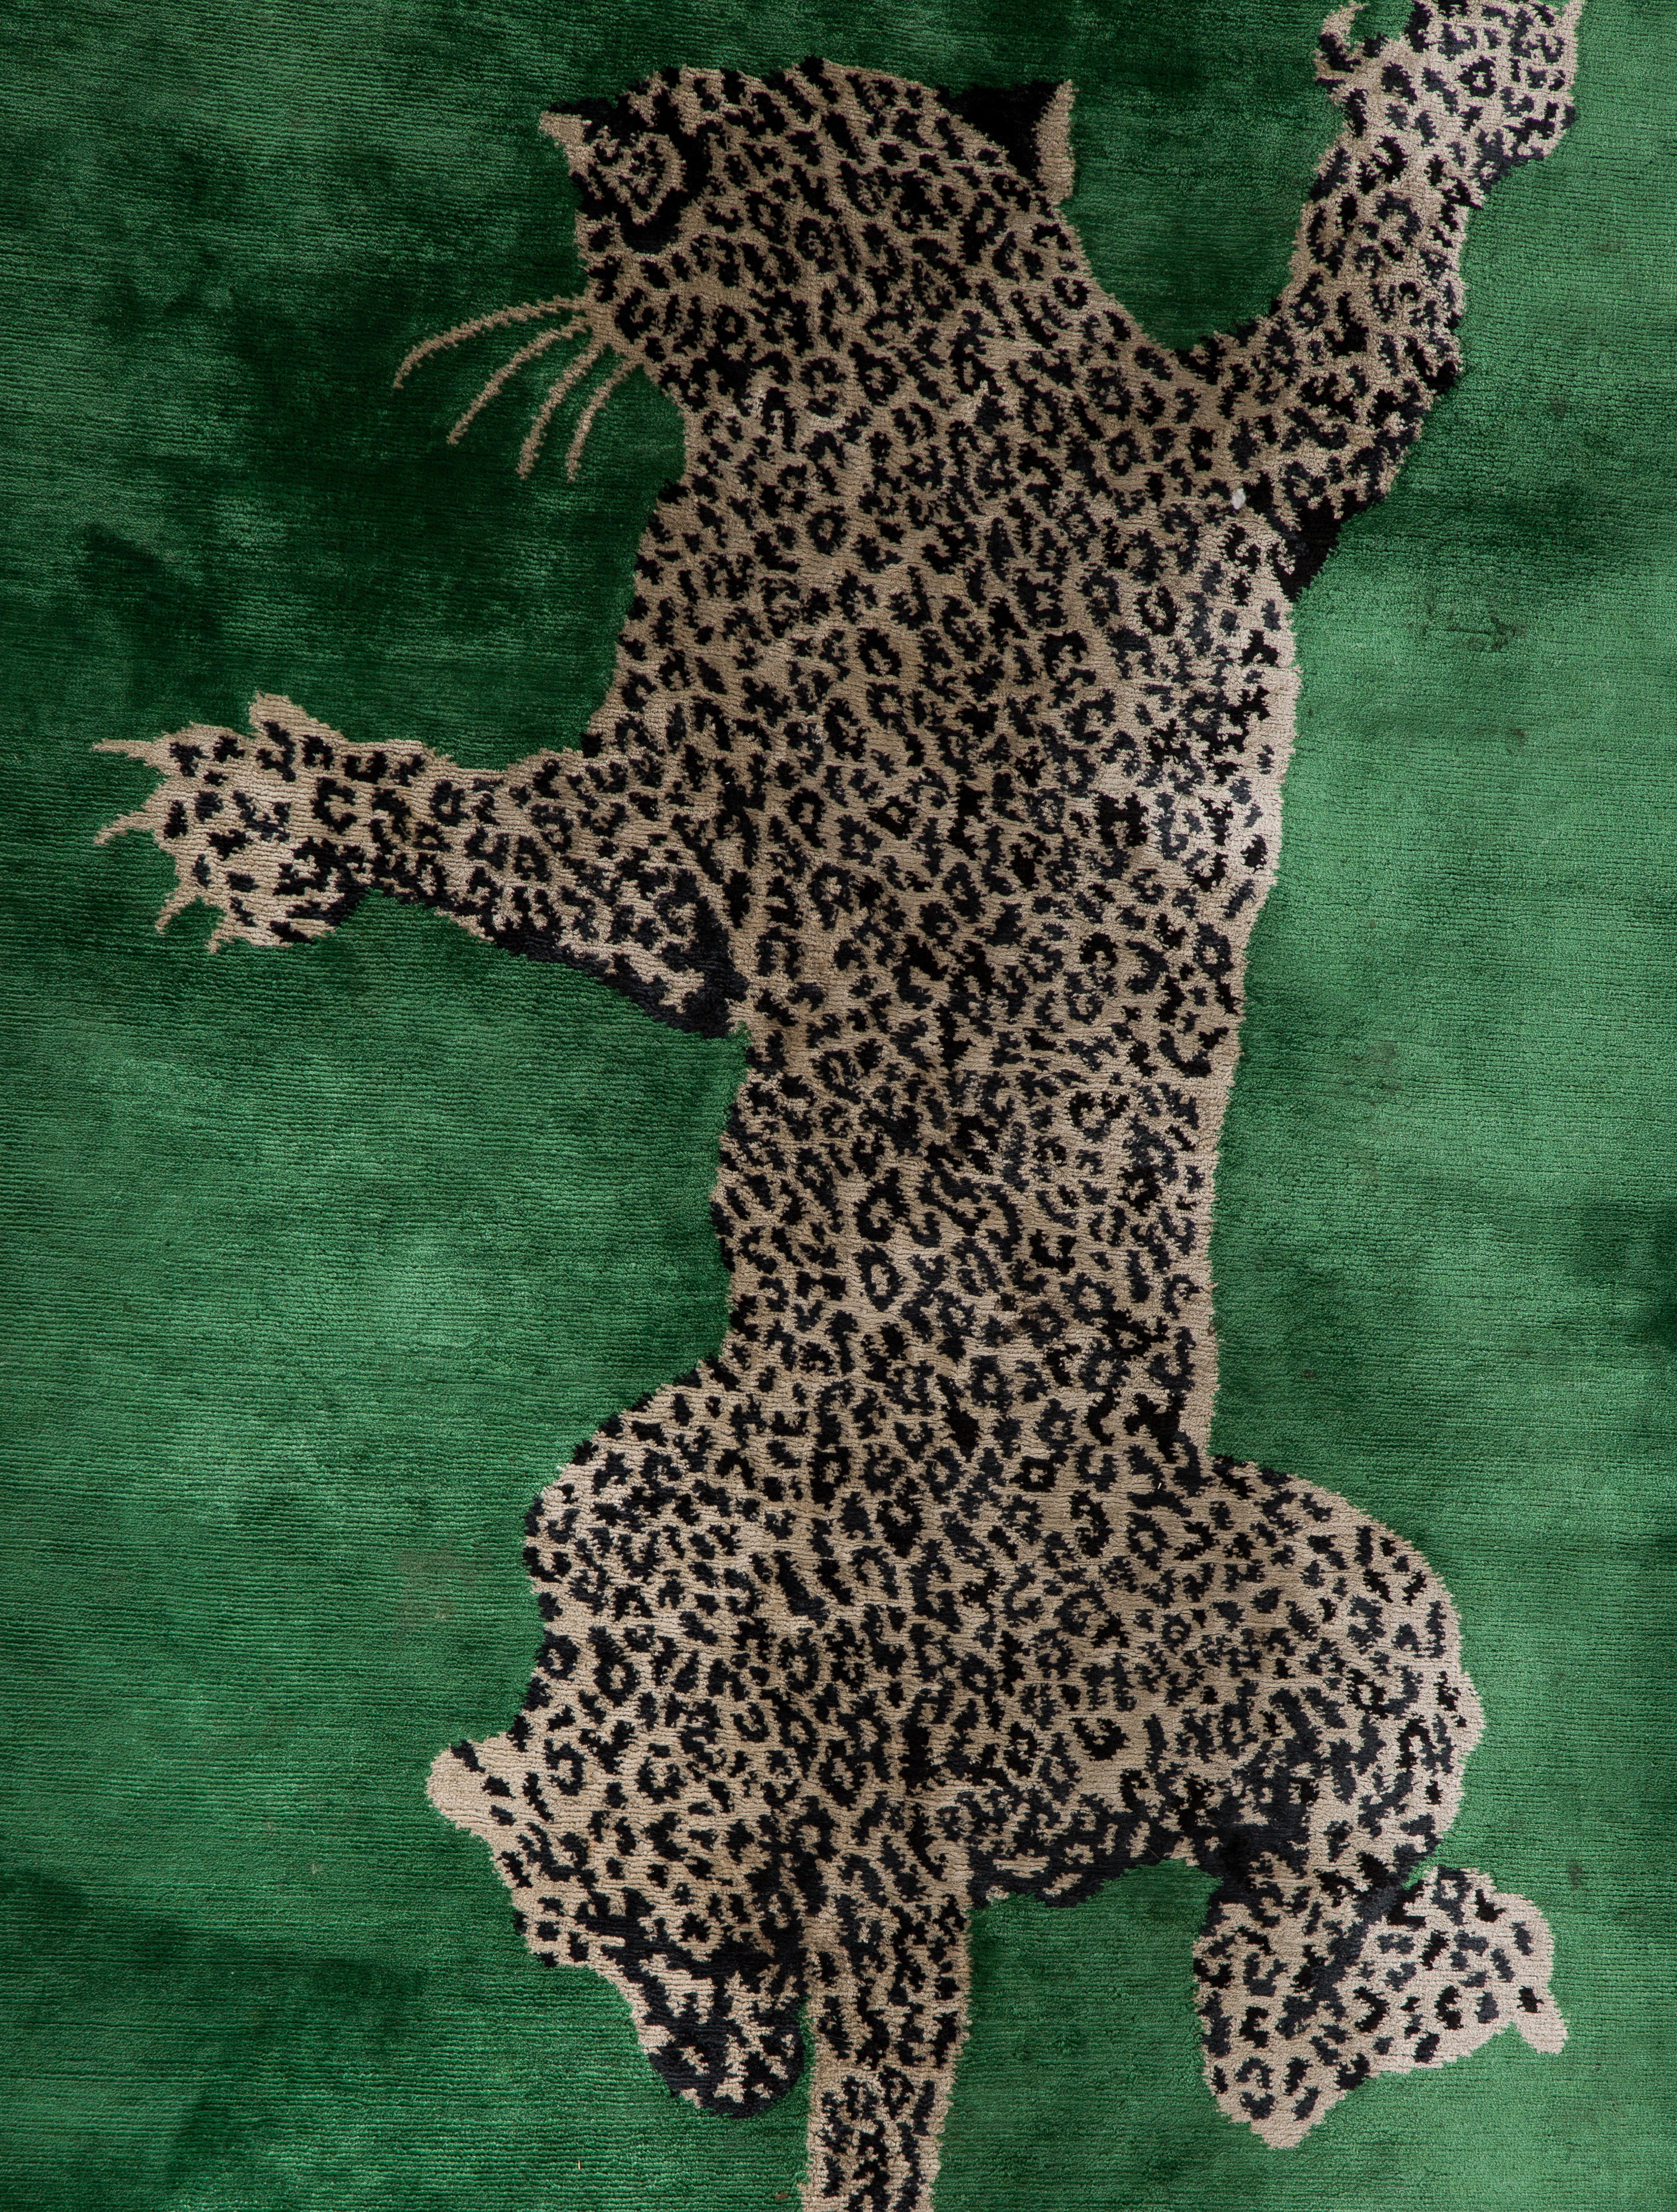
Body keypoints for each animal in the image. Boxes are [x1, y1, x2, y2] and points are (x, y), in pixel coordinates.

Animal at [98, 6, 1583, 2205]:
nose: (581, 156)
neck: (910, 333)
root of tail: (906, 1768)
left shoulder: (677, 796)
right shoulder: (1248, 438)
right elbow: (1368, 297)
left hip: (770, 1561)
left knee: (1137, 2006)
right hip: (1316, 1629)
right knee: (1237, 2012)